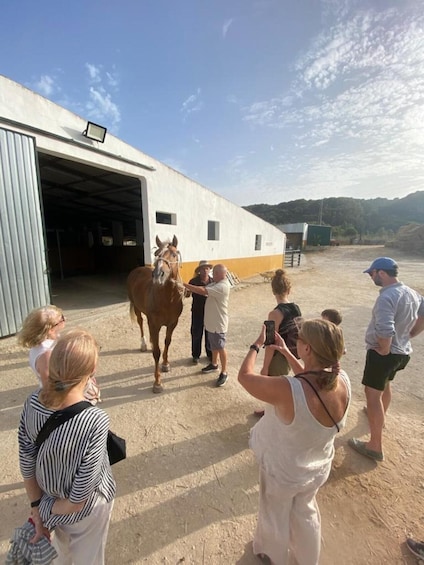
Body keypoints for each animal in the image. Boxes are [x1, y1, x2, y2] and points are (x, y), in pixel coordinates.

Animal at [127, 234, 184, 392]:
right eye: (156, 254)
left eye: (174, 254)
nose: (158, 275)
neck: (168, 299)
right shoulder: (154, 325)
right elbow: (157, 352)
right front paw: (157, 382)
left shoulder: (172, 323)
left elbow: (167, 342)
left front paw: (165, 364)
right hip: (137, 309)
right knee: (141, 323)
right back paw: (144, 344)